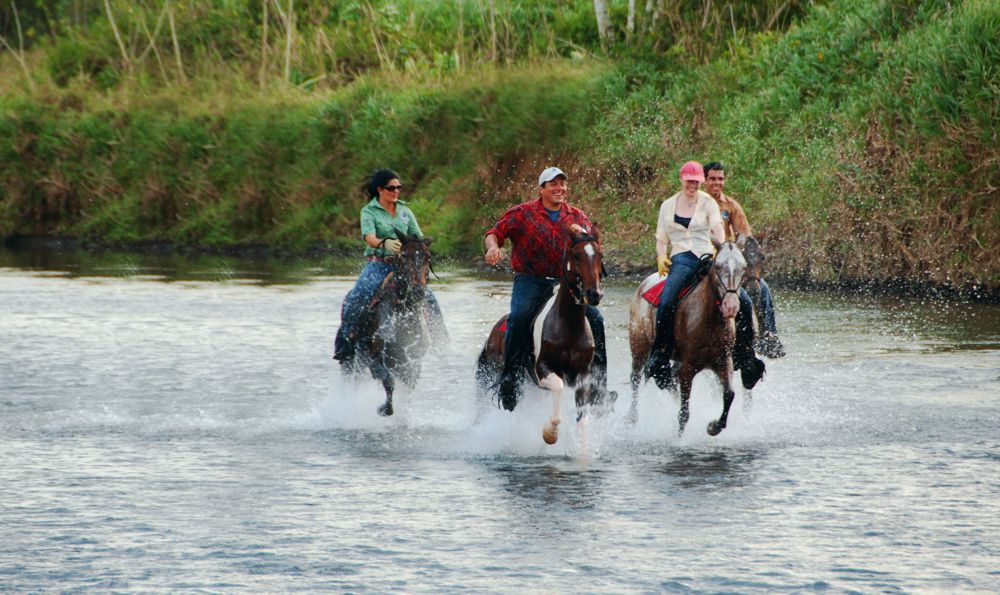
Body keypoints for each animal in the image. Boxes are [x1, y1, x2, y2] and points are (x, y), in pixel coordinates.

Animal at [344, 230, 434, 416]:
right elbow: (388, 381)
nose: (417, 292)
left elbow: (407, 385)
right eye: (404, 257)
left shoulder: (414, 361)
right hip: (351, 361)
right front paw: (384, 409)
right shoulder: (374, 359)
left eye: (428, 258)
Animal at [628, 239, 748, 438]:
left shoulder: (723, 361)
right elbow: (684, 413)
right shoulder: (687, 368)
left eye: (743, 267)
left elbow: (729, 394)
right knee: (635, 380)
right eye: (718, 266)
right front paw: (679, 439)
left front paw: (714, 427)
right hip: (639, 347)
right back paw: (632, 418)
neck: (709, 319)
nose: (731, 306)